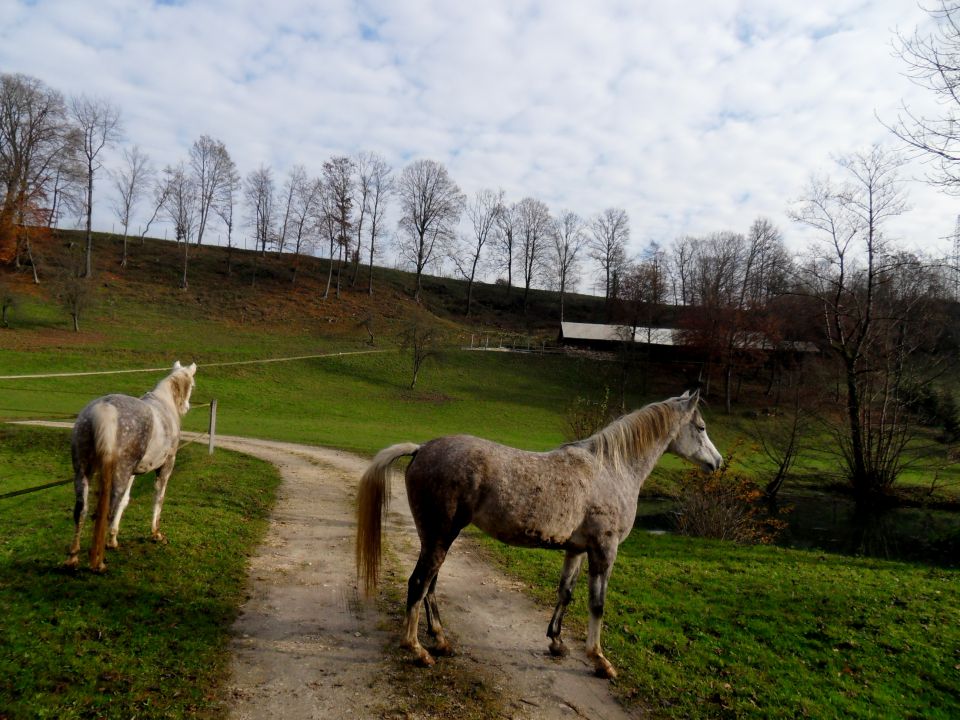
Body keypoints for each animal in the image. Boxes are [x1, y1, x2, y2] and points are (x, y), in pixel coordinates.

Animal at [65, 362, 197, 572]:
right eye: (192, 385)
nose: (186, 406)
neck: (165, 405)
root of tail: (105, 408)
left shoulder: (132, 473)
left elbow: (125, 501)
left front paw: (113, 539)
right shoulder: (167, 465)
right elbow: (158, 497)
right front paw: (156, 533)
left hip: (84, 471)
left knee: (81, 510)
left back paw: (73, 558)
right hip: (119, 473)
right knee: (106, 511)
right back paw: (98, 563)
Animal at [356, 390, 724, 676]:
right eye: (701, 427)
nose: (717, 462)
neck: (610, 470)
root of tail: (421, 449)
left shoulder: (576, 549)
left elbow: (566, 593)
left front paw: (557, 642)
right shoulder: (604, 550)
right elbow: (597, 604)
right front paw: (599, 659)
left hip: (435, 537)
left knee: (429, 584)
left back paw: (441, 640)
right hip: (440, 536)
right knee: (419, 583)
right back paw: (417, 649)